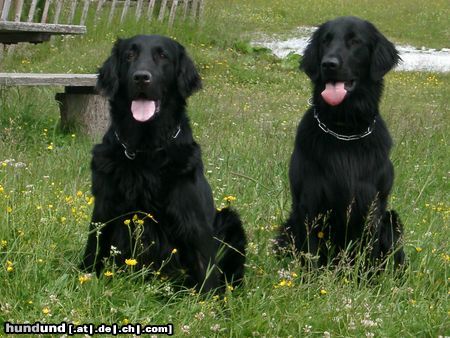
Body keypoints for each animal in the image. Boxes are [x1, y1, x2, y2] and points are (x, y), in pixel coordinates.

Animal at [79, 35, 244, 292]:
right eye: (129, 55)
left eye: (163, 56)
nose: (141, 77)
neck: (146, 150)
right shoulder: (105, 209)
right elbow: (93, 250)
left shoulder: (192, 220)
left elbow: (206, 273)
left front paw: (211, 303)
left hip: (230, 219)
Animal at [276, 17, 406, 268]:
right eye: (325, 41)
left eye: (355, 41)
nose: (329, 64)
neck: (344, 130)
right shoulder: (309, 204)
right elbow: (311, 253)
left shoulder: (371, 206)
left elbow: (368, 256)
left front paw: (364, 279)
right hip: (286, 227)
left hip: (392, 221)